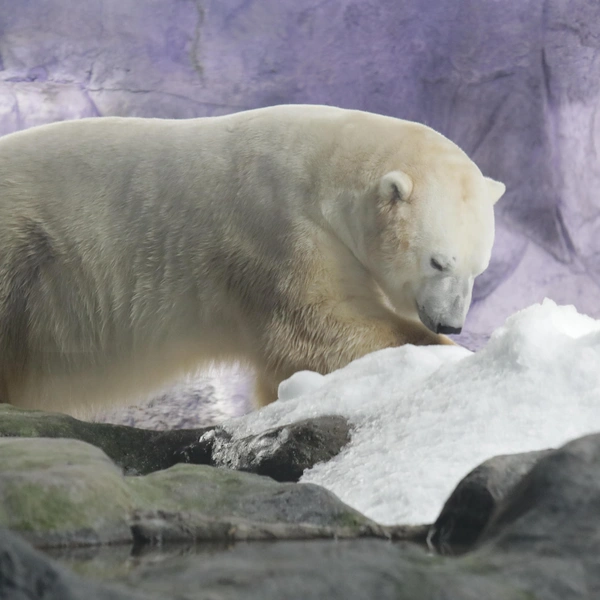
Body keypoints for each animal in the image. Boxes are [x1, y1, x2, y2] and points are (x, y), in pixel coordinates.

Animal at [0, 104, 504, 412]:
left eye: (479, 268)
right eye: (438, 262)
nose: (451, 323)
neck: (324, 171)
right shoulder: (278, 230)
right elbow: (315, 328)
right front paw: (447, 354)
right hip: (24, 248)